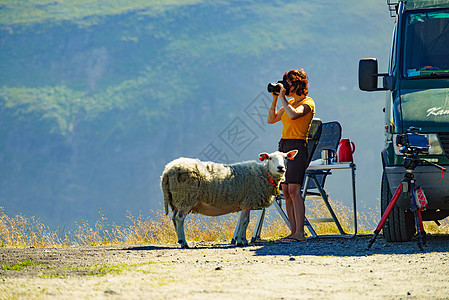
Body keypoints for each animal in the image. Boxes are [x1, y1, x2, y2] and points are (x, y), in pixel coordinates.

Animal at [161, 150, 298, 248]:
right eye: (270, 158)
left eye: (285, 158)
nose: (281, 168)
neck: (264, 174)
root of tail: (167, 170)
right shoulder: (248, 200)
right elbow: (244, 221)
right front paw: (241, 241)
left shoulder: (246, 203)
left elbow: (245, 221)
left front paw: (243, 239)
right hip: (186, 198)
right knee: (179, 219)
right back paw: (184, 242)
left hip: (177, 201)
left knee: (174, 218)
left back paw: (179, 240)